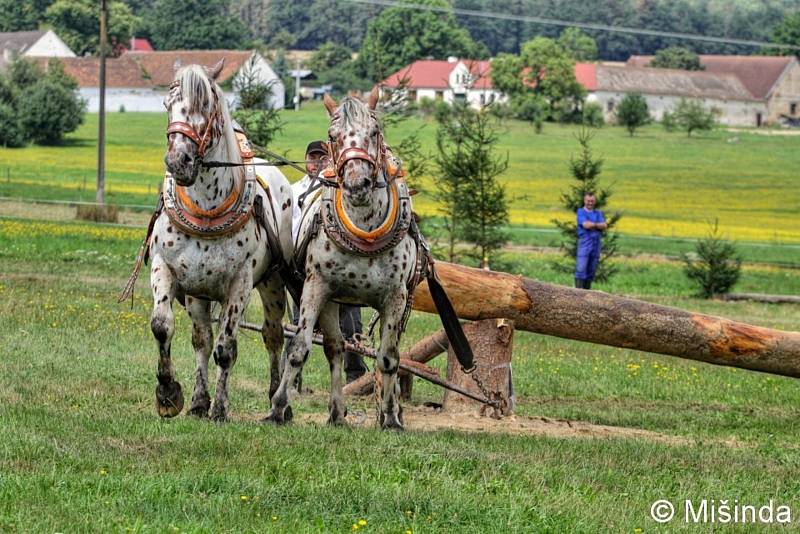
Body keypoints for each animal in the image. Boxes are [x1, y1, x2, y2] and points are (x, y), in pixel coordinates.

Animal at [119, 60, 294, 422]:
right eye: (167, 105)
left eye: (205, 106)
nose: (178, 162)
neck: (207, 209)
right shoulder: (165, 268)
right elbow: (163, 326)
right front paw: (169, 394)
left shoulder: (240, 283)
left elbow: (226, 349)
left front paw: (221, 408)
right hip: (198, 292)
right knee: (202, 338)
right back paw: (199, 401)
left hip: (272, 283)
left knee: (273, 336)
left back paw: (277, 401)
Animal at [266, 88, 476, 432]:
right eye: (332, 136)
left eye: (374, 132)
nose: (357, 184)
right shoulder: (316, 287)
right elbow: (299, 348)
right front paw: (277, 408)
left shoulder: (395, 297)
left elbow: (388, 358)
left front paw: (390, 417)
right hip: (332, 299)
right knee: (336, 348)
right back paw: (337, 413)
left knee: (390, 353)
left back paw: (390, 409)